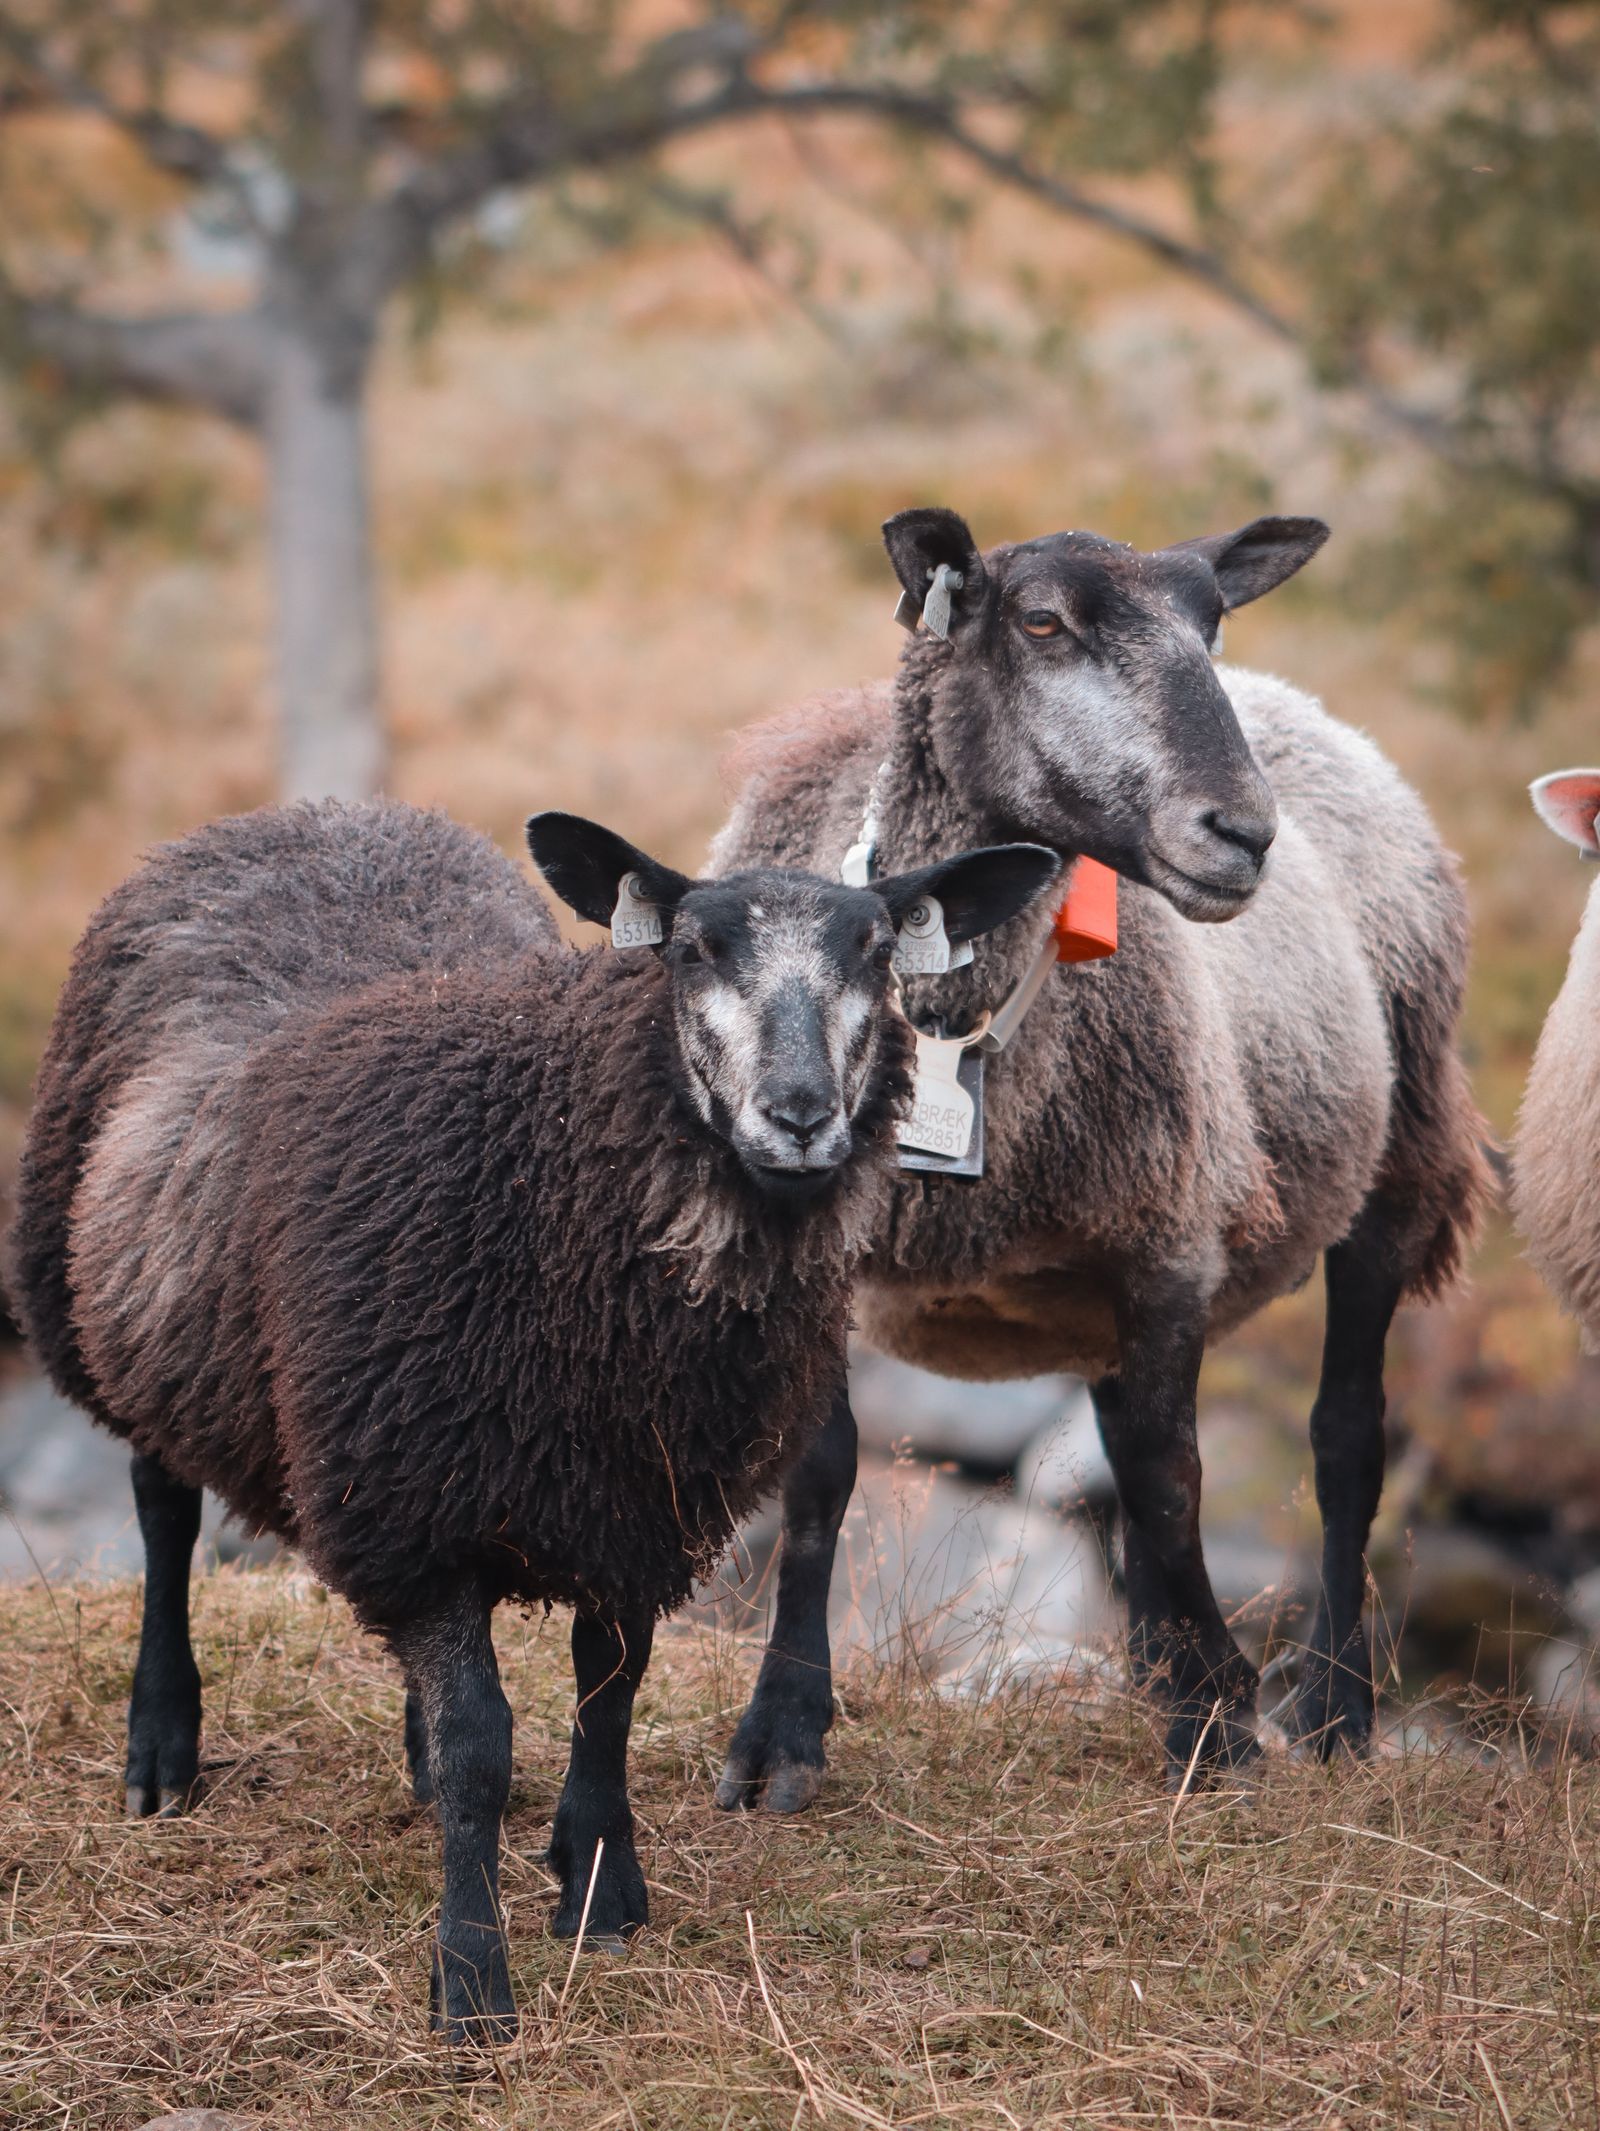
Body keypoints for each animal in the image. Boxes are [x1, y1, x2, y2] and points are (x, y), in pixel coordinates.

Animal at [6, 795, 1058, 2042]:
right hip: (113, 1320)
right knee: (162, 1512)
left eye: (878, 950)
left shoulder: (638, 1497)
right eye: (692, 948)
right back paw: (161, 1743)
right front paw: (470, 1978)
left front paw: (599, 1885)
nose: (799, 1116)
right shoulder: (415, 1502)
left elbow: (609, 1693)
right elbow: (481, 1743)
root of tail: (309, 812)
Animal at [708, 505, 1491, 1798]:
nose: (1242, 832)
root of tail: (1306, 706)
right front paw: (780, 1733)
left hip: (1392, 1151)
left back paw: (1331, 1707)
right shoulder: (813, 1244)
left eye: (1211, 623)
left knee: (1342, 1443)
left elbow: (1175, 1485)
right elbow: (821, 1474)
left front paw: (1216, 1728)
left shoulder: (1166, 1239)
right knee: (1123, 1455)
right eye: (1038, 621)